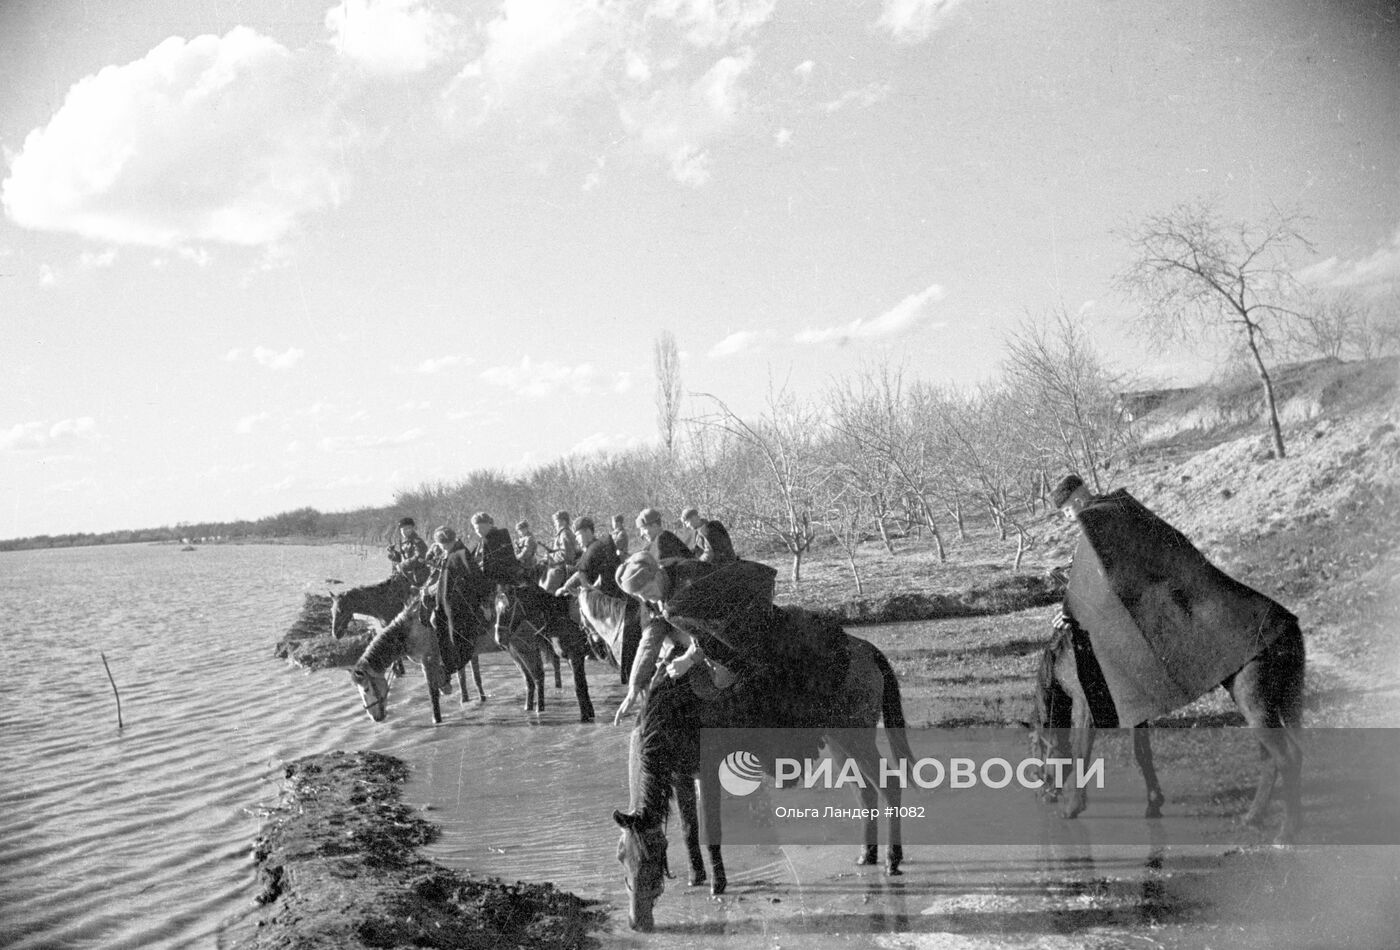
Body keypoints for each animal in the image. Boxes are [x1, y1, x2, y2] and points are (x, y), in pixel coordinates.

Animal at [613, 612, 907, 934]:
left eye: (652, 861)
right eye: (622, 858)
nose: (636, 922)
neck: (675, 708)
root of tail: (865, 649)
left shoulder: (708, 769)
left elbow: (710, 830)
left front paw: (717, 884)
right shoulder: (681, 776)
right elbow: (689, 830)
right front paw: (696, 877)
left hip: (855, 736)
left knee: (890, 785)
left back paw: (892, 860)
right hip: (840, 741)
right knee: (865, 792)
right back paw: (868, 855)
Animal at [1030, 615, 1310, 845]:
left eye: (1037, 749)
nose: (1042, 793)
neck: (1065, 653)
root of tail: (1289, 627)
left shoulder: (1084, 705)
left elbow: (1081, 754)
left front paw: (1072, 808)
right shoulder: (1135, 711)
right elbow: (1143, 753)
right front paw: (1154, 803)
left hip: (1255, 705)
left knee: (1285, 757)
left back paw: (1286, 832)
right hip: (1281, 703)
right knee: (1277, 758)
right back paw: (1254, 817)